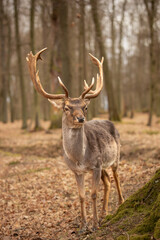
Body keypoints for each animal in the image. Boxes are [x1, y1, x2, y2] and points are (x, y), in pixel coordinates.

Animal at [26, 48, 124, 231]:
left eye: (85, 107)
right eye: (66, 107)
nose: (80, 119)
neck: (80, 158)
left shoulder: (96, 165)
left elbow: (93, 194)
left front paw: (94, 225)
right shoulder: (76, 171)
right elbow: (81, 196)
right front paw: (83, 225)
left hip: (116, 155)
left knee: (115, 176)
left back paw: (120, 202)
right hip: (103, 165)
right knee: (107, 181)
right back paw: (104, 213)